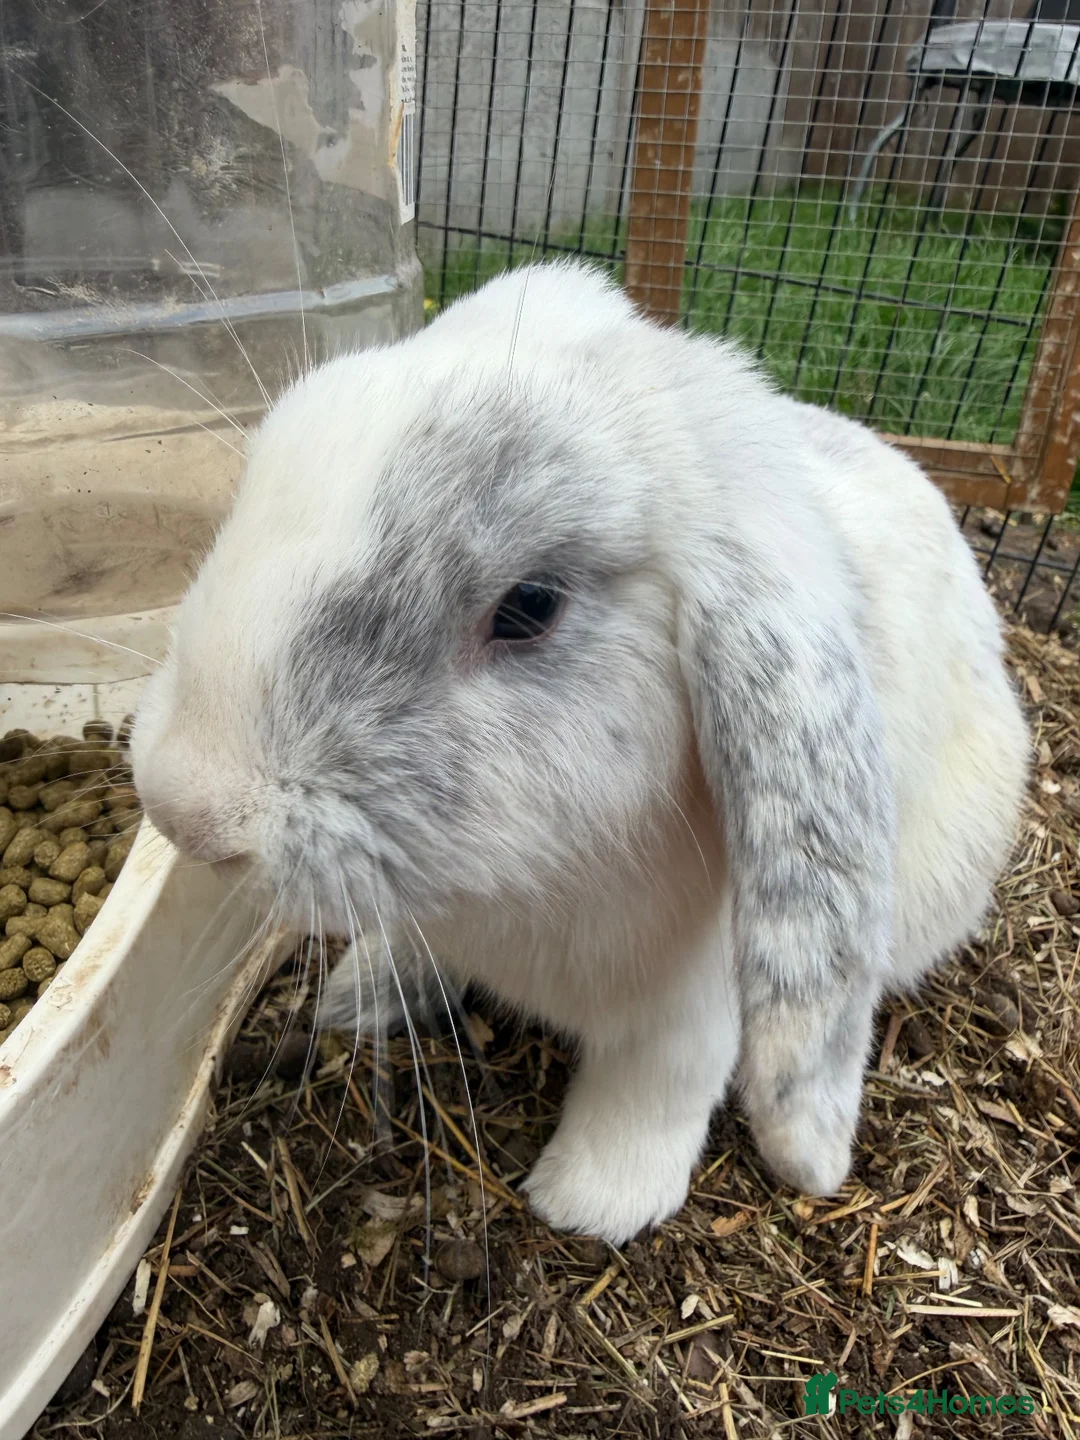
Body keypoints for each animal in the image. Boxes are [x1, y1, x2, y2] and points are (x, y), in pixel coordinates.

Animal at [131, 258, 1030, 1246]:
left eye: (529, 606)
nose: (184, 807)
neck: (526, 894)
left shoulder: (690, 1011)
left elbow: (654, 1091)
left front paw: (589, 1202)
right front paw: (359, 995)